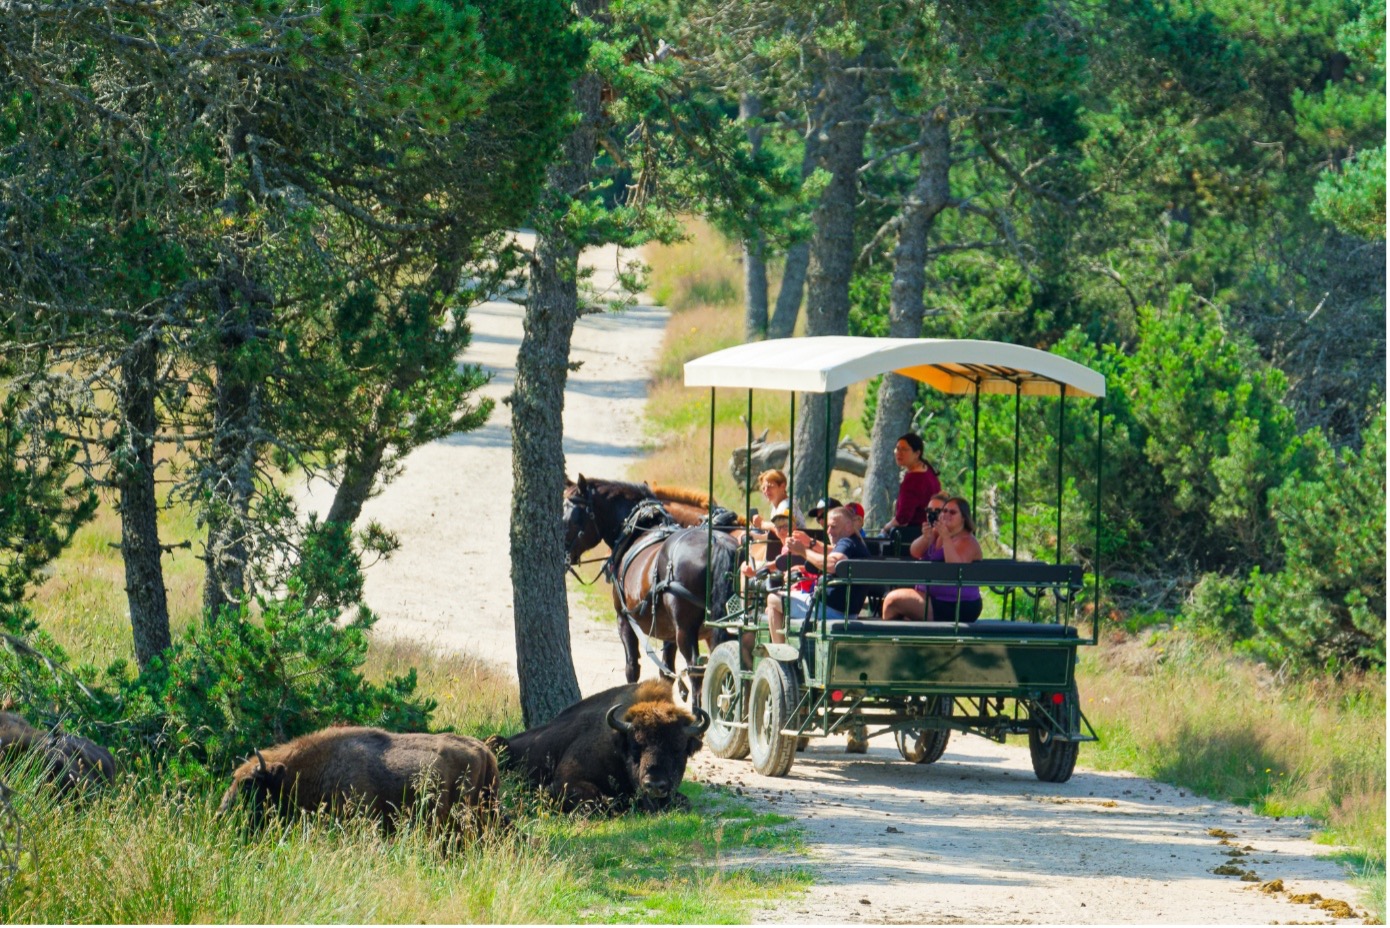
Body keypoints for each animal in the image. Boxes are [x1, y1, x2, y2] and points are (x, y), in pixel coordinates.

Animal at [489, 679, 709, 813]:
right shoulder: (568, 780)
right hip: (496, 742)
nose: (654, 784)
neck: (617, 745)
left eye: (678, 748)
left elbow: (685, 802)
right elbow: (596, 800)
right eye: (635, 746)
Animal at [563, 475, 741, 712]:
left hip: (686, 630)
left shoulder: (624, 619)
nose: (562, 554)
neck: (640, 529)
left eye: (569, 518)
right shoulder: (668, 632)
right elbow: (666, 672)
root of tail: (717, 543)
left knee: (696, 671)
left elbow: (632, 667)